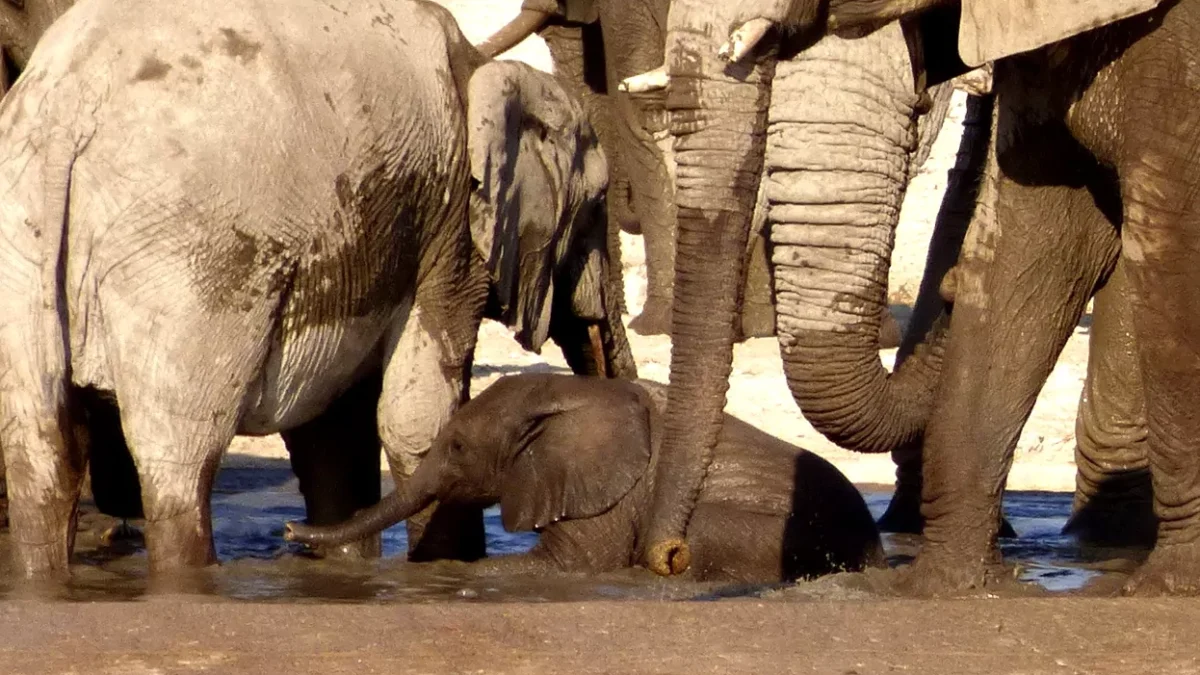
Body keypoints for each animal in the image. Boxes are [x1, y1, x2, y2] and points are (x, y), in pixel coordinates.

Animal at [0, 0, 620, 579]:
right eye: (597, 204)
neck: (481, 68)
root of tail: (68, 113)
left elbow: (334, 430)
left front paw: (346, 568)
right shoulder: (447, 227)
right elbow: (416, 415)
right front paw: (448, 569)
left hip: (25, 241)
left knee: (42, 453)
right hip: (194, 266)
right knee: (179, 460)